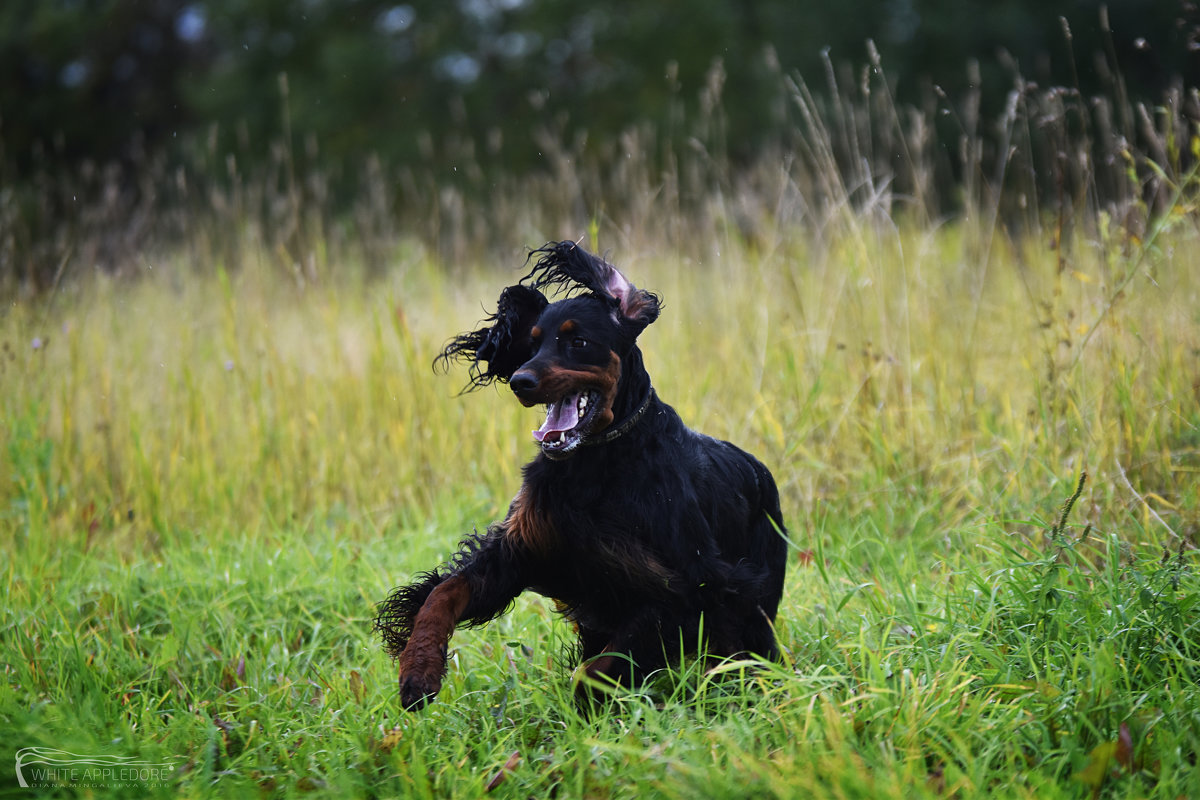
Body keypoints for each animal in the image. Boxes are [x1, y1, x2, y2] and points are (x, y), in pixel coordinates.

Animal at [374, 241, 787, 710]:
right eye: (532, 344)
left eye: (578, 341)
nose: (520, 380)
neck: (596, 461)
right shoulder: (521, 551)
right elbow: (442, 594)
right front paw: (418, 668)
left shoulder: (693, 587)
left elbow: (599, 667)